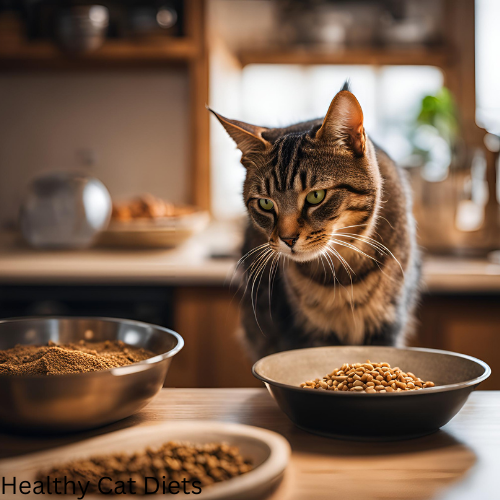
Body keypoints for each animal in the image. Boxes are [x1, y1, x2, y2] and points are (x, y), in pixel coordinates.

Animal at [209, 84, 420, 362]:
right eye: (265, 203)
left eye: (315, 196)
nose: (287, 239)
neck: (341, 273)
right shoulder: (301, 332)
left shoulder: (387, 325)